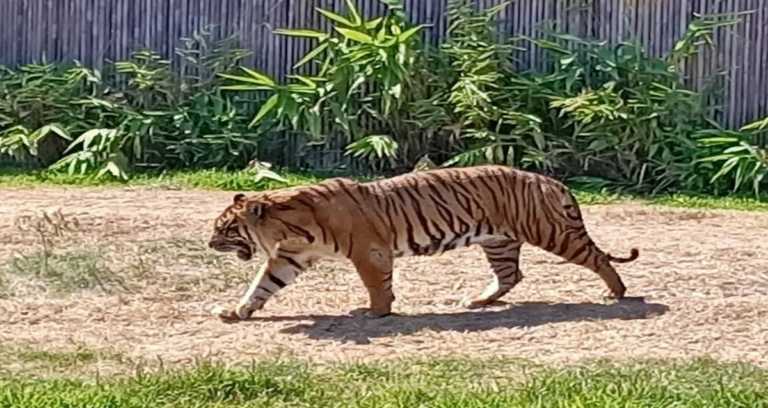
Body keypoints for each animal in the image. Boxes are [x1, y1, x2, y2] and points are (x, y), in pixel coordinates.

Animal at [208, 165, 639, 321]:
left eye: (225, 229)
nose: (210, 243)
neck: (287, 225)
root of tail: (551, 180)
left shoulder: (369, 252)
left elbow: (376, 285)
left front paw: (375, 313)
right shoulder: (289, 257)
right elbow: (262, 285)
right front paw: (237, 310)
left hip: (550, 231)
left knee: (597, 257)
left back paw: (616, 292)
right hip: (499, 241)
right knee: (511, 275)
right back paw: (477, 301)